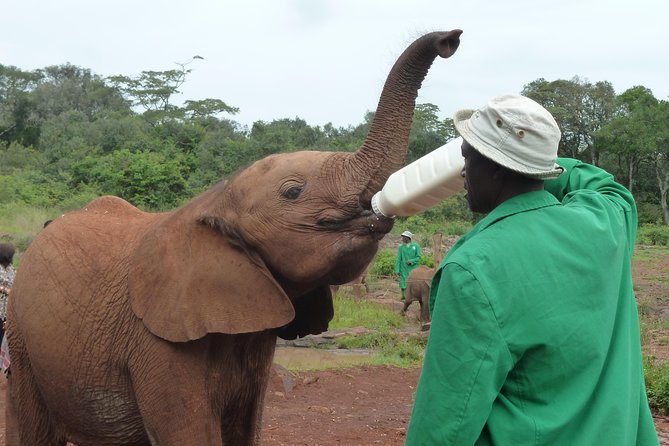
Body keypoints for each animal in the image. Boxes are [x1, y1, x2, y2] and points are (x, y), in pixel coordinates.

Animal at [5, 30, 462, 446]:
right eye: (293, 192)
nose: (451, 40)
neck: (215, 200)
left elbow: (246, 427)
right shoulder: (158, 339)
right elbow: (188, 432)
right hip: (22, 336)